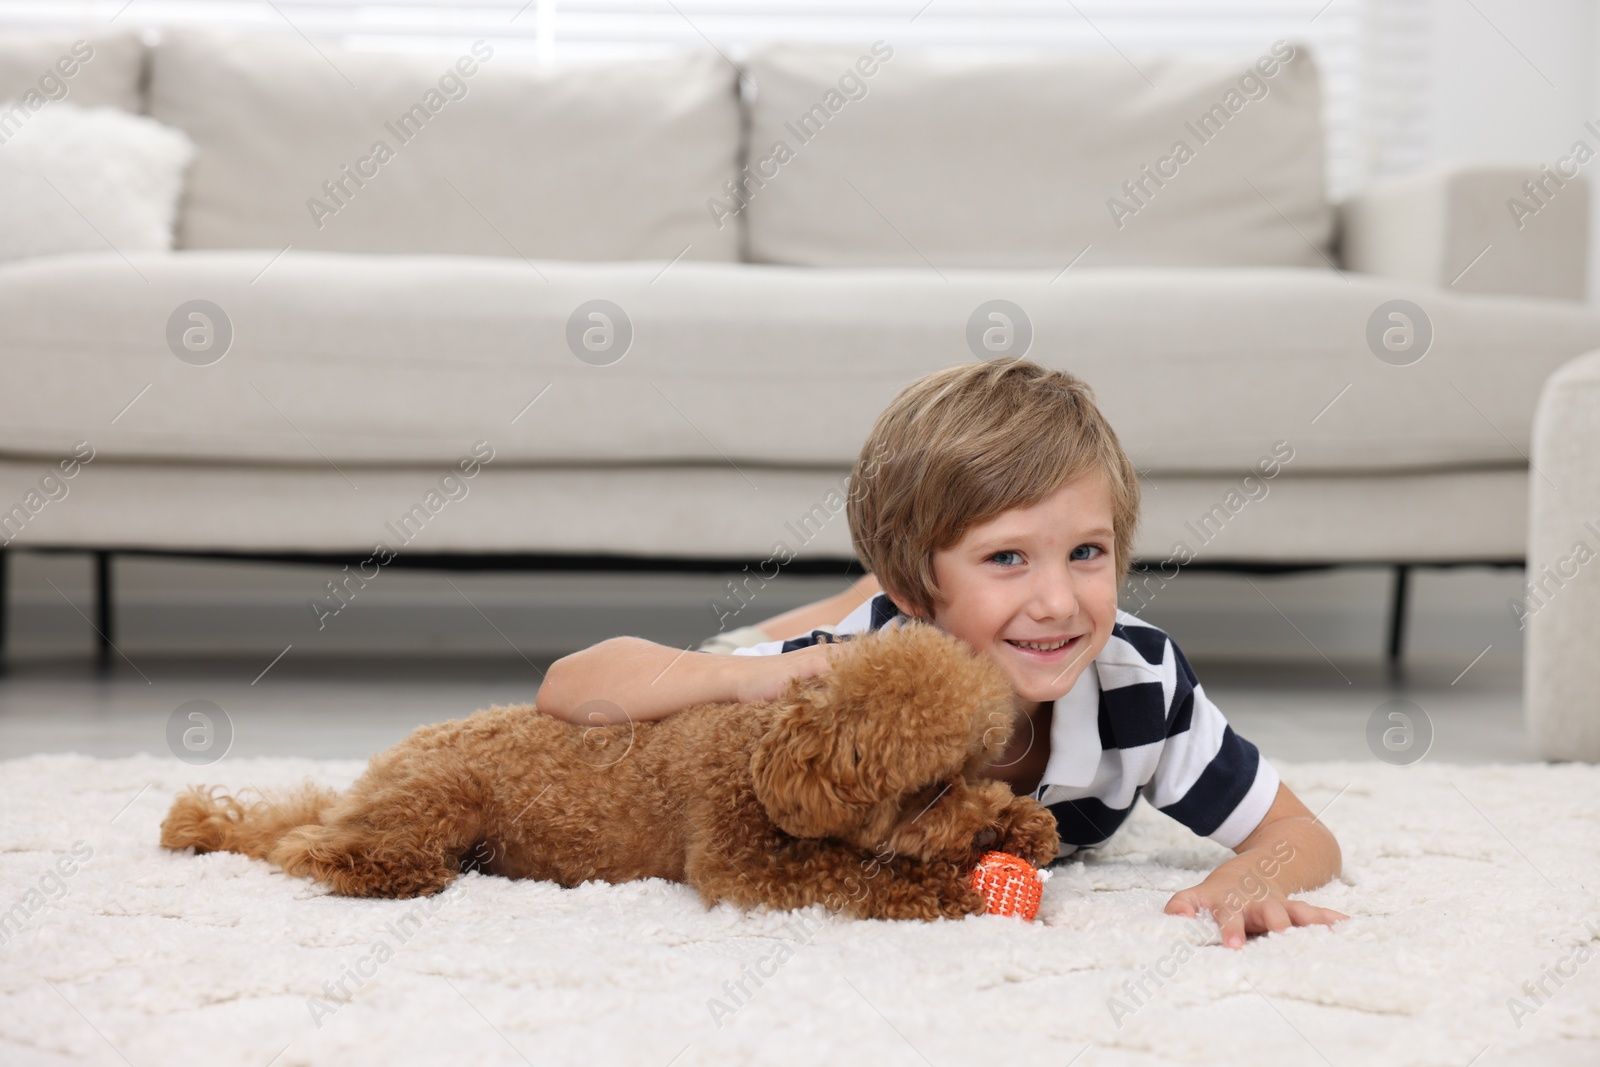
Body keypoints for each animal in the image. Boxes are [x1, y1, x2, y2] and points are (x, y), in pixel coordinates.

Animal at [165, 620, 1062, 921]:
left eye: (976, 766)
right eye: (926, 789)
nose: (984, 827)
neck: (762, 752)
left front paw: (1025, 823)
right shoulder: (740, 859)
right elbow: (849, 872)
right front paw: (940, 888)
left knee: (298, 820)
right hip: (442, 797)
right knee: (311, 845)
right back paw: (387, 871)